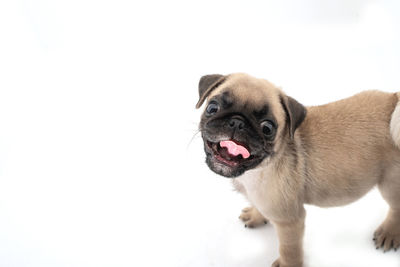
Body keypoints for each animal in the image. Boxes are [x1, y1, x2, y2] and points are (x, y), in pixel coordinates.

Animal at [195, 72, 400, 266]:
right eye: (212, 108)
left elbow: (289, 249)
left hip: (391, 183)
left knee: (396, 207)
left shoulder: (290, 221)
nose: (237, 122)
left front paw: (288, 264)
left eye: (267, 128)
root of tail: (394, 100)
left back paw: (390, 232)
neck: (259, 169)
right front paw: (256, 215)